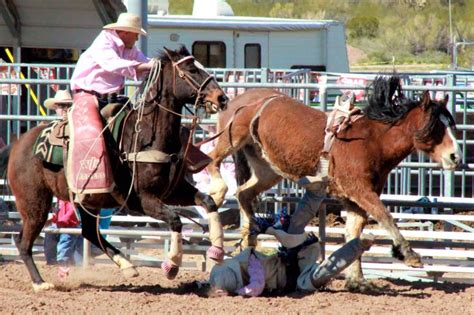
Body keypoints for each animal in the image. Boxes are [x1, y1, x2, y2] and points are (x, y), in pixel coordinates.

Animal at [0, 47, 229, 294]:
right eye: (191, 69)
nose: (222, 98)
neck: (146, 136)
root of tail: (17, 144)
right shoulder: (141, 199)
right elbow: (175, 219)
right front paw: (172, 265)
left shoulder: (174, 191)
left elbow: (208, 202)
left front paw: (216, 252)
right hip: (34, 203)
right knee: (24, 241)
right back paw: (40, 282)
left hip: (87, 201)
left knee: (89, 232)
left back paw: (127, 265)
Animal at [207, 76, 460, 292]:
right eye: (436, 126)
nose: (455, 156)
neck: (372, 142)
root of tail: (237, 98)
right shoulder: (361, 190)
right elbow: (385, 216)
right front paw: (409, 254)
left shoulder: (354, 201)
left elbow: (353, 234)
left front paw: (357, 281)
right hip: (231, 139)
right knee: (212, 160)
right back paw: (218, 192)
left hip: (266, 170)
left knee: (244, 194)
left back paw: (250, 238)